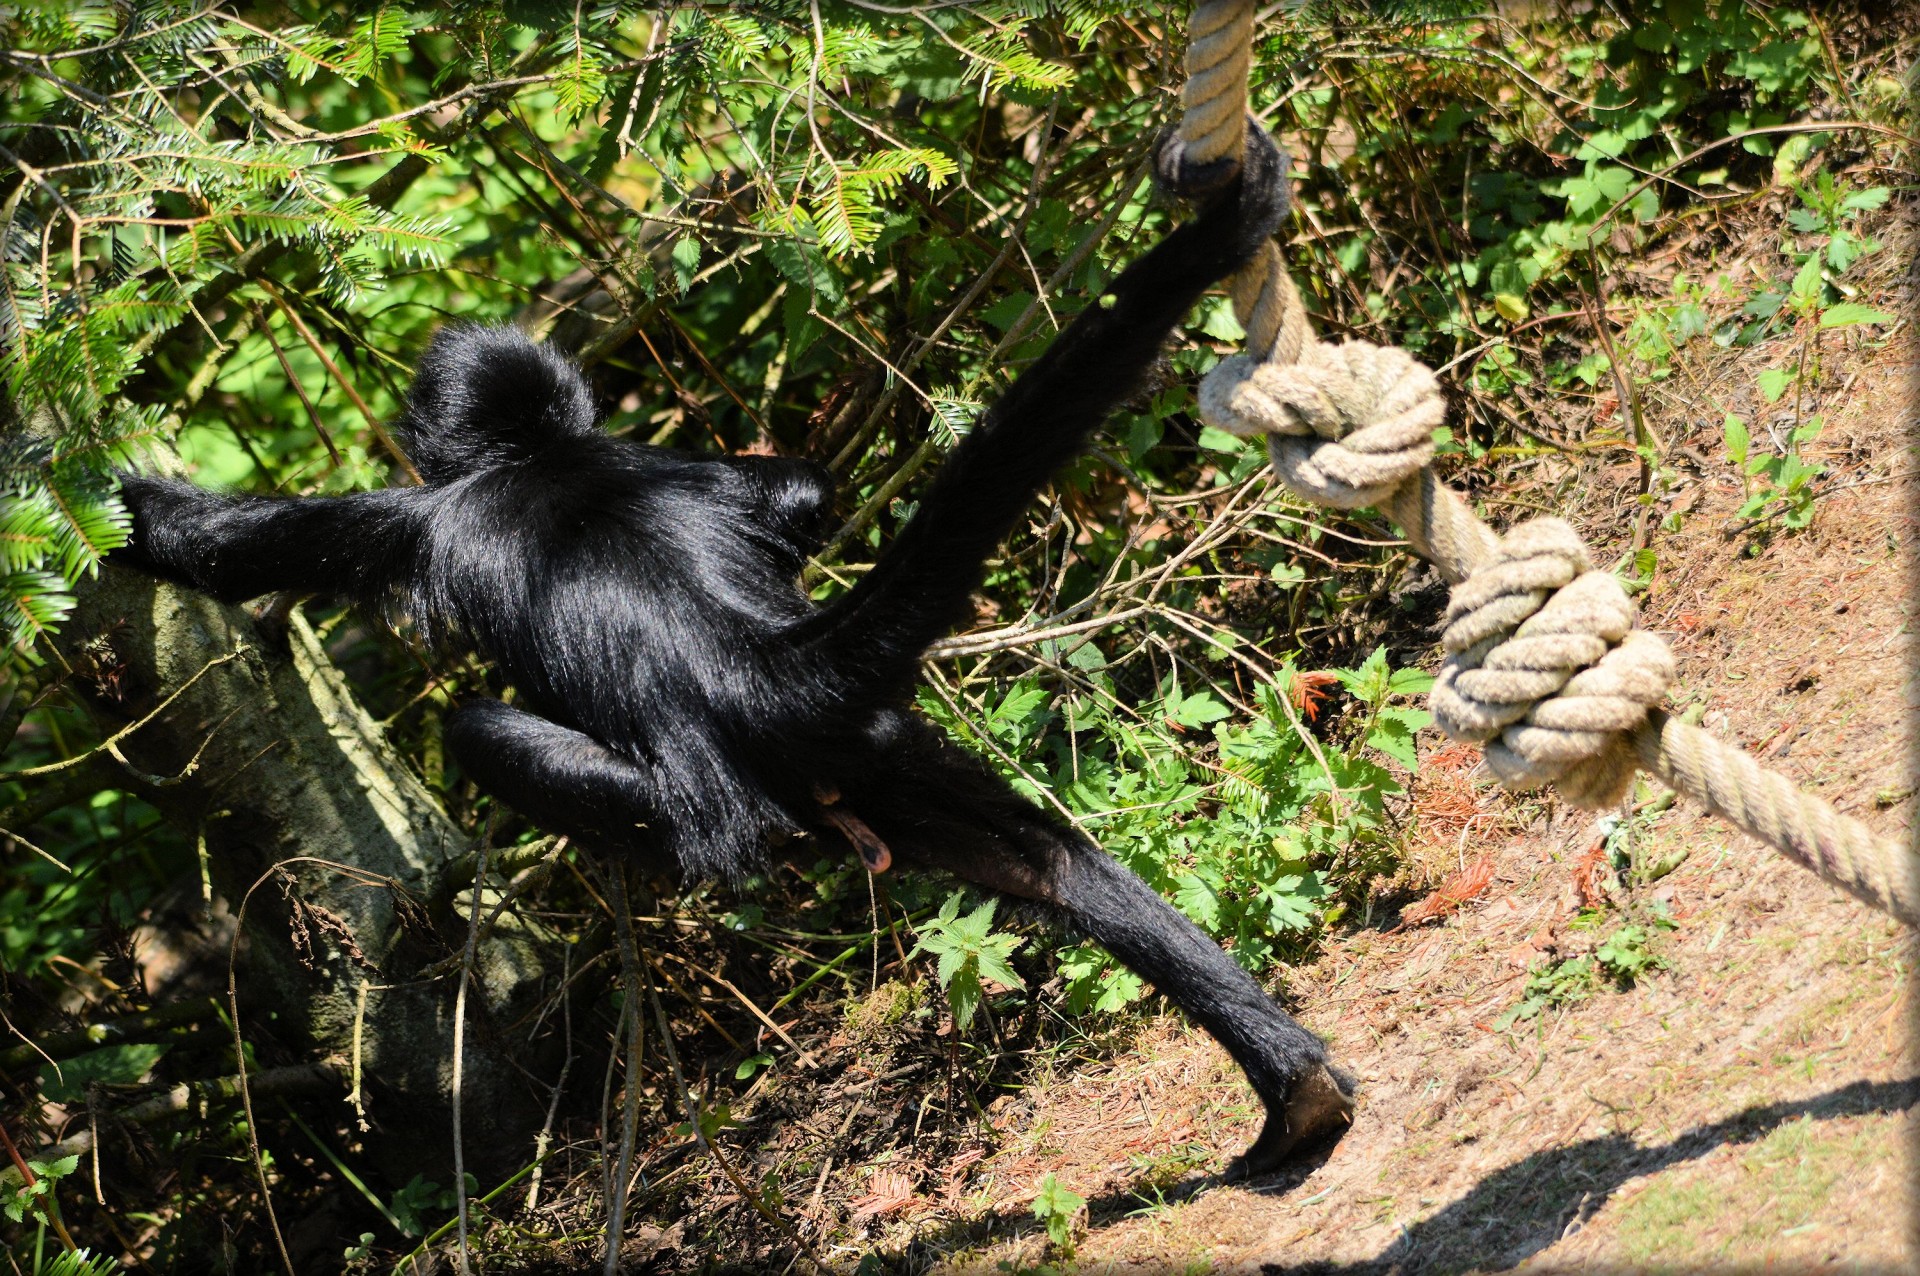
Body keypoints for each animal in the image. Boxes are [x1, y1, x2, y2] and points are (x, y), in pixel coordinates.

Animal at [112, 121, 1359, 1174]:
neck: (541, 458)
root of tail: (749, 662)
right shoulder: (663, 462)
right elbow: (798, 488)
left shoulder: (422, 517)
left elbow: (213, 549)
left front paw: (119, 502)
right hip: (874, 750)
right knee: (1049, 862)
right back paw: (1292, 1089)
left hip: (711, 801)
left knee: (487, 734)